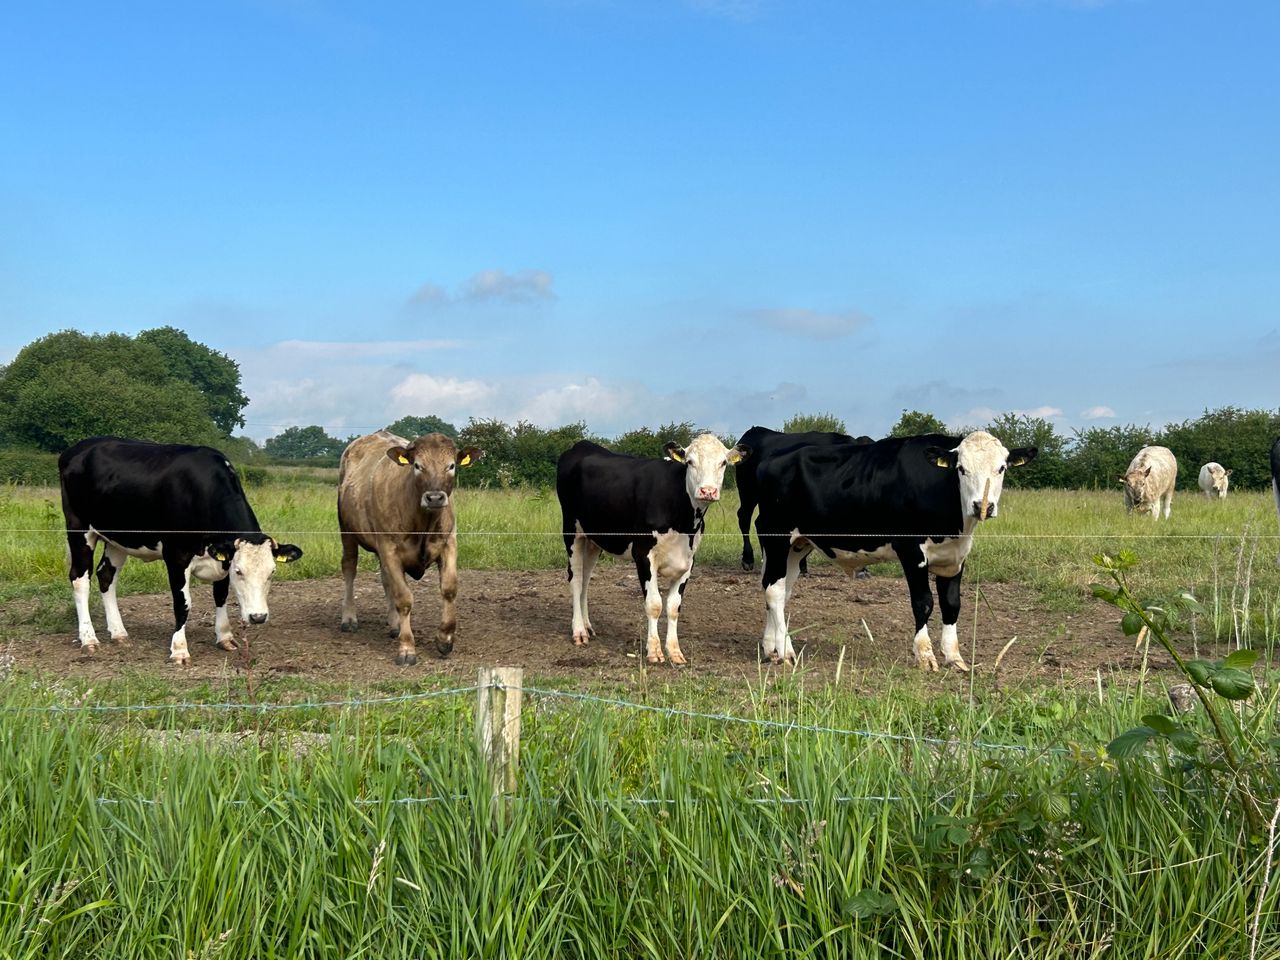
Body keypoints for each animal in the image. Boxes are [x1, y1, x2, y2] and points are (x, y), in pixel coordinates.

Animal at [58, 437, 304, 665]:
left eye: (272, 572)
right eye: (239, 572)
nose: (258, 617)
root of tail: (78, 448)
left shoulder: (222, 558)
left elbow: (220, 595)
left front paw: (224, 637)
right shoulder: (176, 556)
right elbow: (182, 603)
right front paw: (179, 649)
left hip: (118, 537)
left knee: (106, 575)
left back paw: (119, 633)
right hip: (79, 529)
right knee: (80, 579)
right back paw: (89, 639)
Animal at [337, 431, 481, 665]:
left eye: (451, 465)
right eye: (417, 465)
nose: (434, 497)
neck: (423, 523)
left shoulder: (449, 543)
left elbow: (449, 589)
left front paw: (445, 638)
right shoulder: (389, 549)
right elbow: (404, 598)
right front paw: (406, 649)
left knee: (385, 578)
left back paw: (394, 624)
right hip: (347, 532)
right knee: (349, 567)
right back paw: (349, 618)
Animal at [556, 434, 751, 665]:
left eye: (723, 463)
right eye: (690, 462)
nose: (708, 491)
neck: (684, 521)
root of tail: (581, 445)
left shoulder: (688, 561)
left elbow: (674, 607)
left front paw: (675, 652)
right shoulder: (643, 555)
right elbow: (654, 604)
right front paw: (654, 651)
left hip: (594, 539)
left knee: (585, 580)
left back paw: (587, 626)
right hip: (571, 531)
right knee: (576, 579)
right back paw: (578, 631)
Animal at [754, 431, 1036, 671]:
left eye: (1001, 468)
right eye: (961, 469)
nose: (982, 506)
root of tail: (770, 459)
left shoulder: (955, 557)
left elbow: (951, 604)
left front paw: (954, 657)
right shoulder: (911, 550)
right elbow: (923, 603)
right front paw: (925, 655)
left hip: (797, 545)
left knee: (780, 590)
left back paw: (772, 649)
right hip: (776, 536)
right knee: (775, 591)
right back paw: (786, 651)